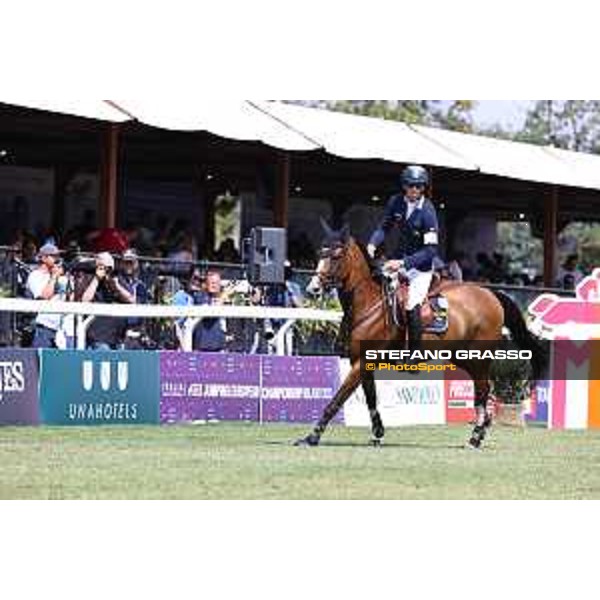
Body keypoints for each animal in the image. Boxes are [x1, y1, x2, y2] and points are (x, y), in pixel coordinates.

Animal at [292, 225, 548, 450]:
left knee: (483, 389)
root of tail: (491, 293)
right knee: (486, 390)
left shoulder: (362, 363)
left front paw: (311, 437)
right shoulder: (361, 363)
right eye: (319, 254)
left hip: (477, 358)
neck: (369, 303)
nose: (313, 289)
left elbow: (336, 400)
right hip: (463, 357)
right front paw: (378, 433)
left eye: (336, 256)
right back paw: (481, 431)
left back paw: (475, 437)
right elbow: (371, 399)